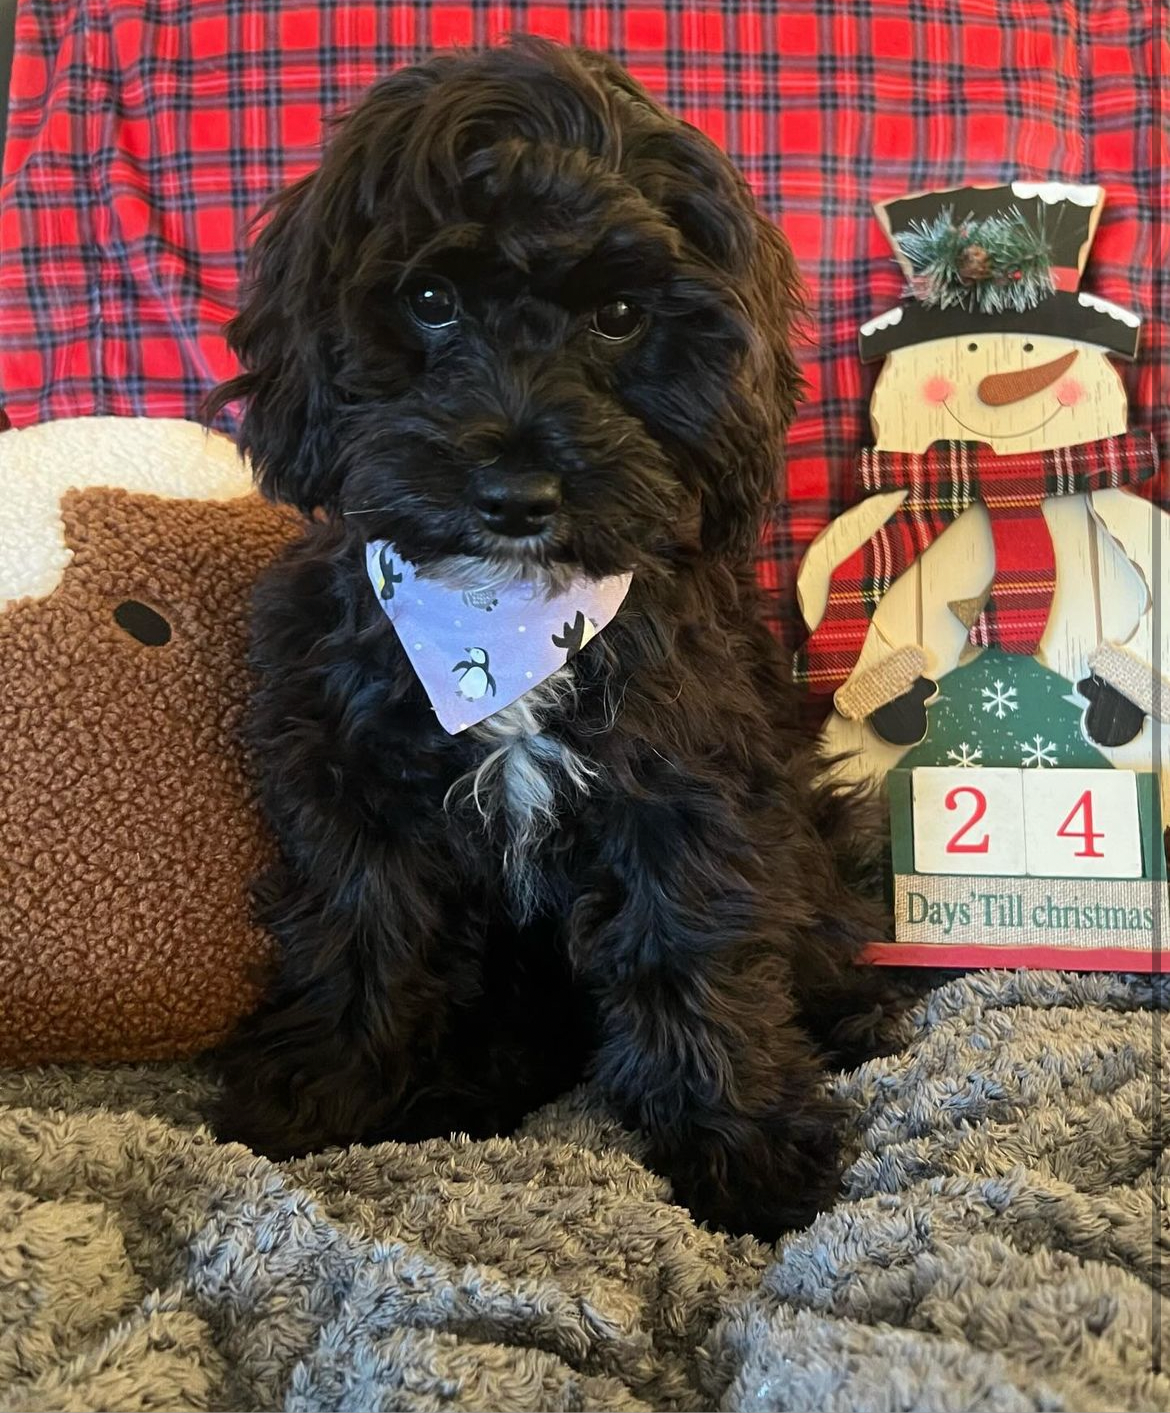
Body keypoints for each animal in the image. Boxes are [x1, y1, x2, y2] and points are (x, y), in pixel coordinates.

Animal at [207, 41, 887, 1237]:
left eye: (618, 314)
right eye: (430, 301)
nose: (515, 495)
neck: (506, 621)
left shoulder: (687, 782)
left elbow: (692, 947)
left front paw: (744, 1143)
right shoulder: (349, 775)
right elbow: (361, 931)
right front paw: (318, 1089)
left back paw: (852, 1013)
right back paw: (465, 1084)